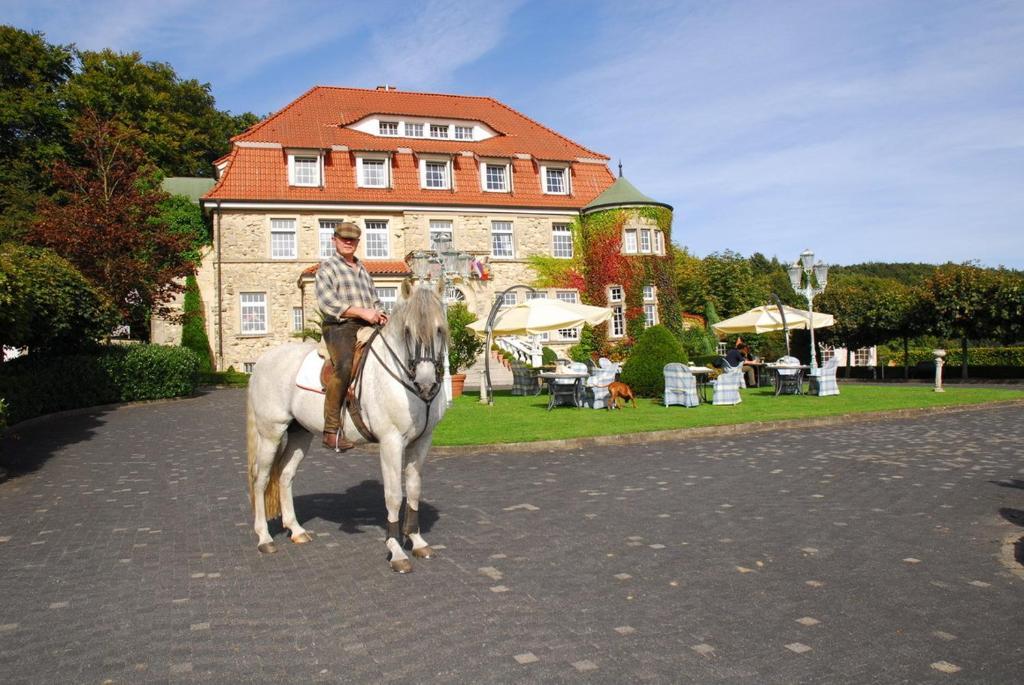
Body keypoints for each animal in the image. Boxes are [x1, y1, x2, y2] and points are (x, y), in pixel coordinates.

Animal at [245, 278, 450, 573]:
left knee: (284, 475)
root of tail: (262, 362)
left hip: (299, 435)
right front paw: (396, 551)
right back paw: (264, 538)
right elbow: (393, 495)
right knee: (260, 479)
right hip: (270, 432)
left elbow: (413, 490)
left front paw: (418, 541)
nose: (426, 383)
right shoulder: (391, 443)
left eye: (440, 329)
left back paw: (296, 530)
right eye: (408, 331)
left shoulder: (422, 442)